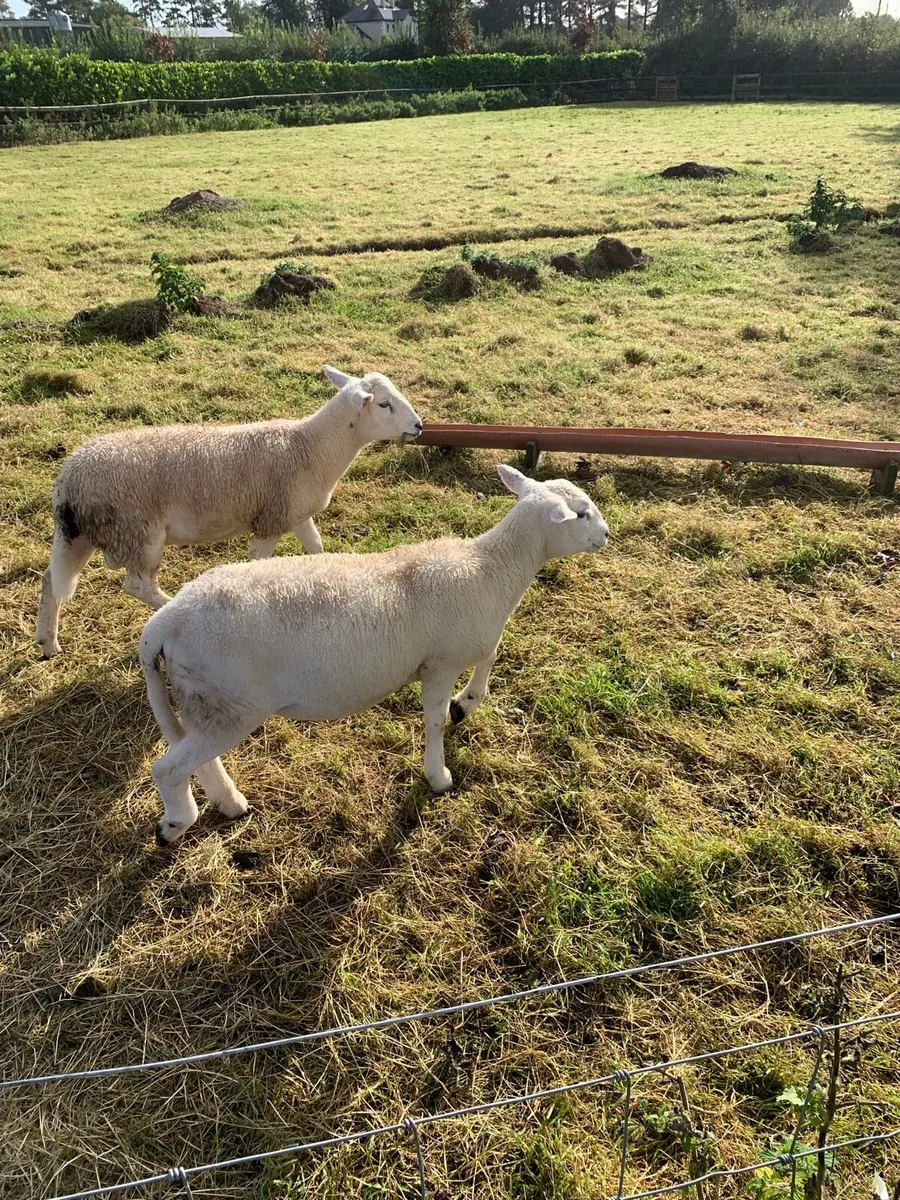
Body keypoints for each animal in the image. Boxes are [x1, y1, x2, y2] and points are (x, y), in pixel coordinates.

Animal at [35, 366, 422, 658]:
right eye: (384, 404)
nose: (419, 426)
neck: (310, 447)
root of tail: (68, 478)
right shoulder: (270, 520)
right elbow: (259, 566)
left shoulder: (295, 513)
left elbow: (317, 549)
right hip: (137, 532)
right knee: (138, 586)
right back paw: (171, 606)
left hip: (83, 533)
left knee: (52, 578)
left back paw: (48, 643)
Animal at [138, 464, 609, 845]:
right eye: (582, 513)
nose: (606, 535)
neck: (490, 568)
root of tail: (166, 621)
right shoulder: (440, 662)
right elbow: (436, 718)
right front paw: (438, 775)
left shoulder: (467, 639)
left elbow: (490, 654)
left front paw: (468, 703)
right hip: (230, 703)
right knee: (168, 769)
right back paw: (175, 824)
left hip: (208, 701)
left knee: (197, 759)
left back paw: (231, 803)